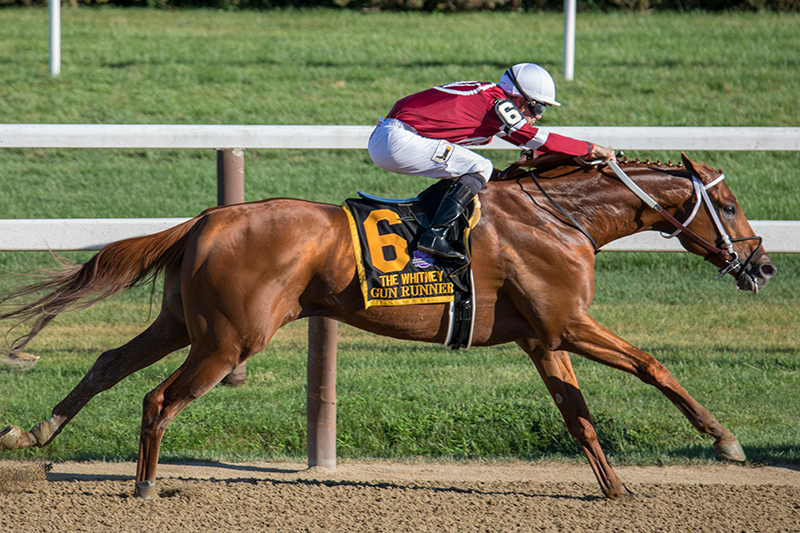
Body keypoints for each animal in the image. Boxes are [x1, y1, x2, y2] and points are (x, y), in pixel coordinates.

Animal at [0, 152, 776, 496]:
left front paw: (615, 488)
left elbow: (578, 415)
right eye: (731, 204)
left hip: (185, 324)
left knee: (107, 362)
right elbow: (653, 364)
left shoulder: (543, 338)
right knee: (159, 397)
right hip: (228, 339)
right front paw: (727, 440)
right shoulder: (569, 323)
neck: (563, 217)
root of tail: (207, 219)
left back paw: (32, 432)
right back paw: (143, 486)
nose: (762, 265)